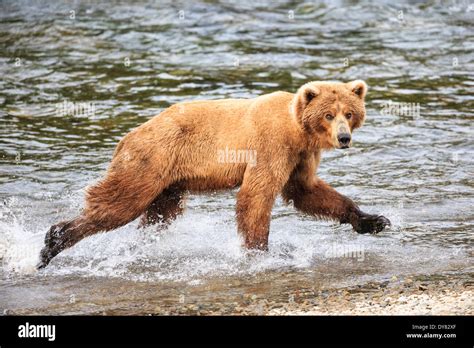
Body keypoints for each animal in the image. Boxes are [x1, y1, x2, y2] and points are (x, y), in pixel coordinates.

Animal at [38, 79, 388, 270]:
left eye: (349, 113)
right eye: (328, 114)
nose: (344, 138)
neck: (297, 131)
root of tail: (128, 136)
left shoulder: (301, 156)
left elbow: (306, 191)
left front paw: (373, 220)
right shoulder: (271, 145)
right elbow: (256, 194)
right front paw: (259, 252)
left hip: (169, 184)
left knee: (159, 215)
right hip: (150, 161)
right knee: (119, 203)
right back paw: (52, 241)